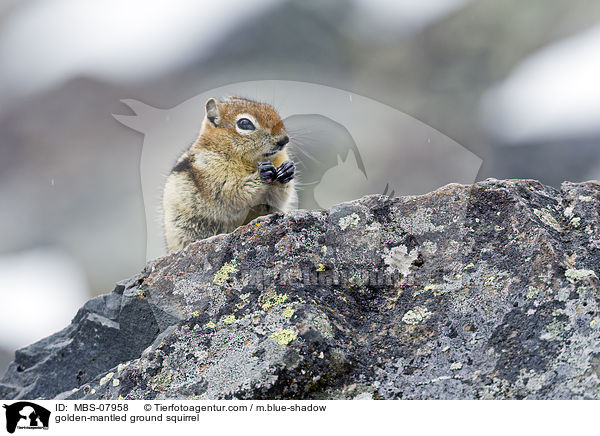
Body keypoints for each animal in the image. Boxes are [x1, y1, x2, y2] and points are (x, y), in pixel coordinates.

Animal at [163, 95, 296, 252]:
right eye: (244, 123)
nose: (284, 140)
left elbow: (274, 200)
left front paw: (287, 169)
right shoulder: (212, 175)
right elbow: (232, 193)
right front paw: (262, 173)